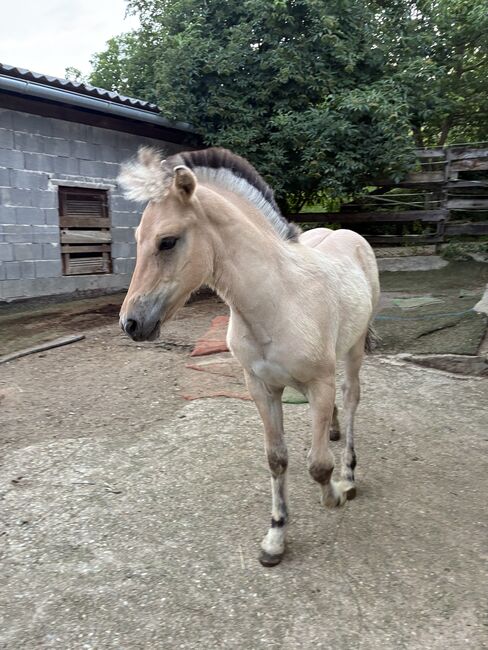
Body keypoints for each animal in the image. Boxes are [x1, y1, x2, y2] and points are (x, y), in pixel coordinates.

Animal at [118, 146, 380, 567]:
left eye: (167, 241)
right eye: (138, 238)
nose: (130, 323)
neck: (279, 299)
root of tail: (347, 234)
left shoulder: (320, 382)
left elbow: (318, 465)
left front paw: (336, 495)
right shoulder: (261, 387)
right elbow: (277, 458)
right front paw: (275, 536)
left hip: (354, 348)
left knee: (352, 397)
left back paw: (350, 475)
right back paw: (333, 431)